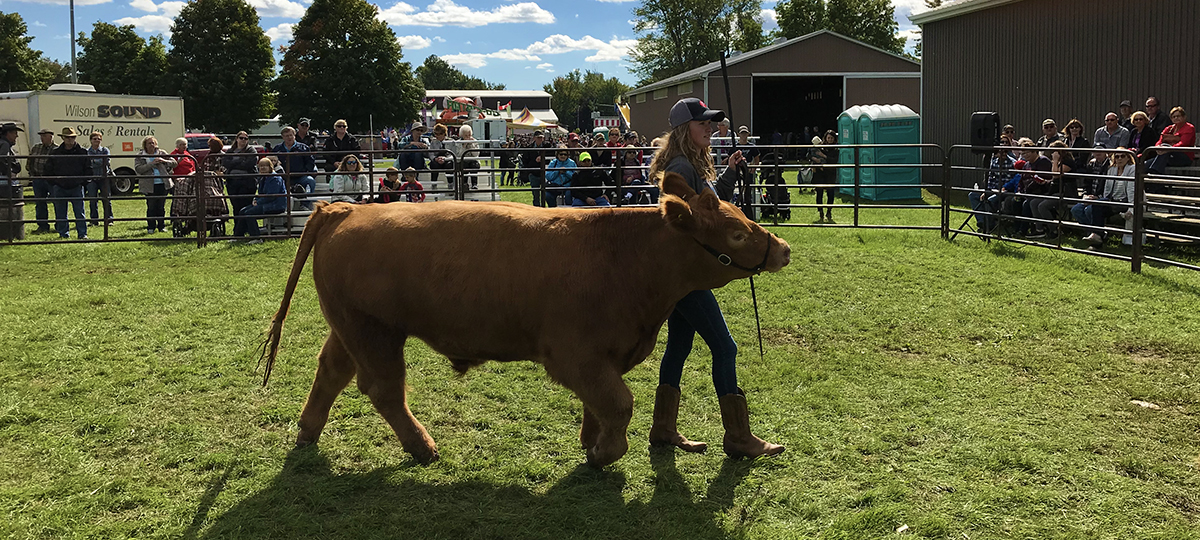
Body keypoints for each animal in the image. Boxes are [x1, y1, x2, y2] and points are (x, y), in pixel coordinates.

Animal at [261, 174, 787, 468]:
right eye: (737, 233)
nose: (781, 248)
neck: (622, 254)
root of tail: (344, 210)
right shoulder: (574, 356)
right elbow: (618, 404)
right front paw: (603, 454)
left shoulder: (601, 358)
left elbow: (599, 405)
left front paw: (591, 442)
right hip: (374, 332)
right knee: (384, 390)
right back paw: (423, 447)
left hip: (350, 328)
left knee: (331, 372)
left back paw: (307, 432)